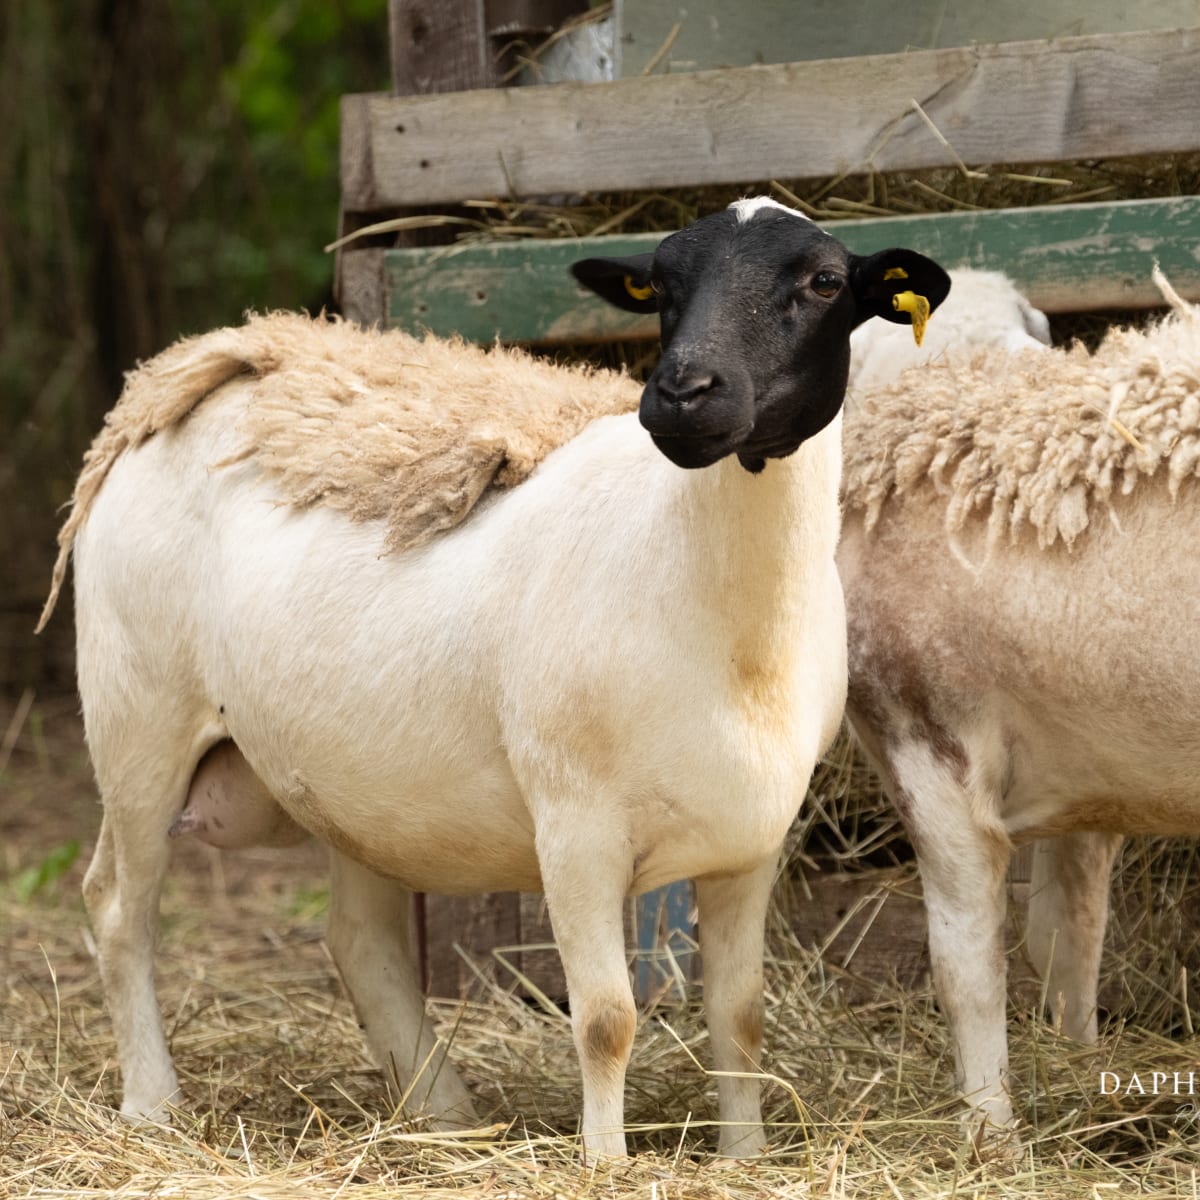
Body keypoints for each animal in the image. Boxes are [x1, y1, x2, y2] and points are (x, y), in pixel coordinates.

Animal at [39, 196, 951, 1159]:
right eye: (658, 285)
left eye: (823, 281)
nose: (680, 394)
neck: (727, 625)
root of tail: (195, 368)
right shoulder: (576, 824)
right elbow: (606, 1018)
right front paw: (605, 1163)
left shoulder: (751, 841)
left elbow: (740, 1016)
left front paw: (746, 1156)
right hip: (138, 715)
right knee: (118, 905)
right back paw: (153, 1104)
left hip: (350, 782)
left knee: (359, 940)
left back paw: (441, 1113)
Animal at [837, 269, 1200, 1143]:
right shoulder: (1096, 771)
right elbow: (1072, 935)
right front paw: (1081, 1061)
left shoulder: (931, 753)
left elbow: (967, 962)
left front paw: (988, 1130)